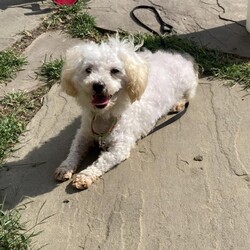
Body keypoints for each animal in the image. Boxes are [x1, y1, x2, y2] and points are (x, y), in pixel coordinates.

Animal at [53, 36, 198, 189]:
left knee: (189, 95)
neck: (105, 114)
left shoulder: (120, 147)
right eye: (88, 69)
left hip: (188, 85)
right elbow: (74, 150)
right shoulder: (84, 134)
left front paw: (85, 176)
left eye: (115, 70)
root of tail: (183, 57)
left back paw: (178, 103)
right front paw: (65, 167)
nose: (98, 85)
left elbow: (102, 161)